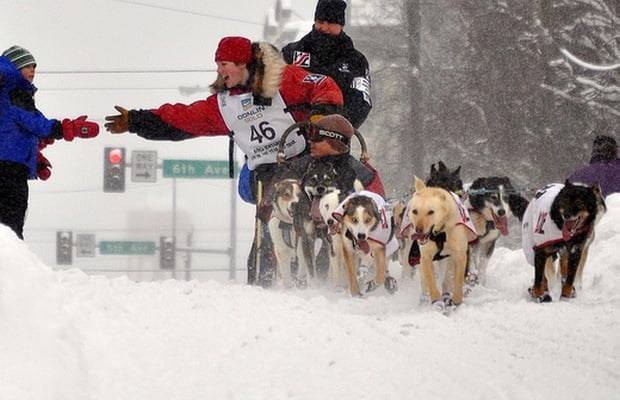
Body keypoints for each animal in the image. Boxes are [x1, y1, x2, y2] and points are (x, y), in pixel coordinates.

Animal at [406, 177, 480, 308]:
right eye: (415, 211)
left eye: (431, 212)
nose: (419, 230)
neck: (440, 232)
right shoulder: (426, 257)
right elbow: (431, 281)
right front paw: (436, 301)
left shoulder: (459, 255)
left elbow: (457, 279)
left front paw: (456, 299)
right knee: (426, 280)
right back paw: (426, 298)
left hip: (450, 259)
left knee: (447, 278)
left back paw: (447, 294)